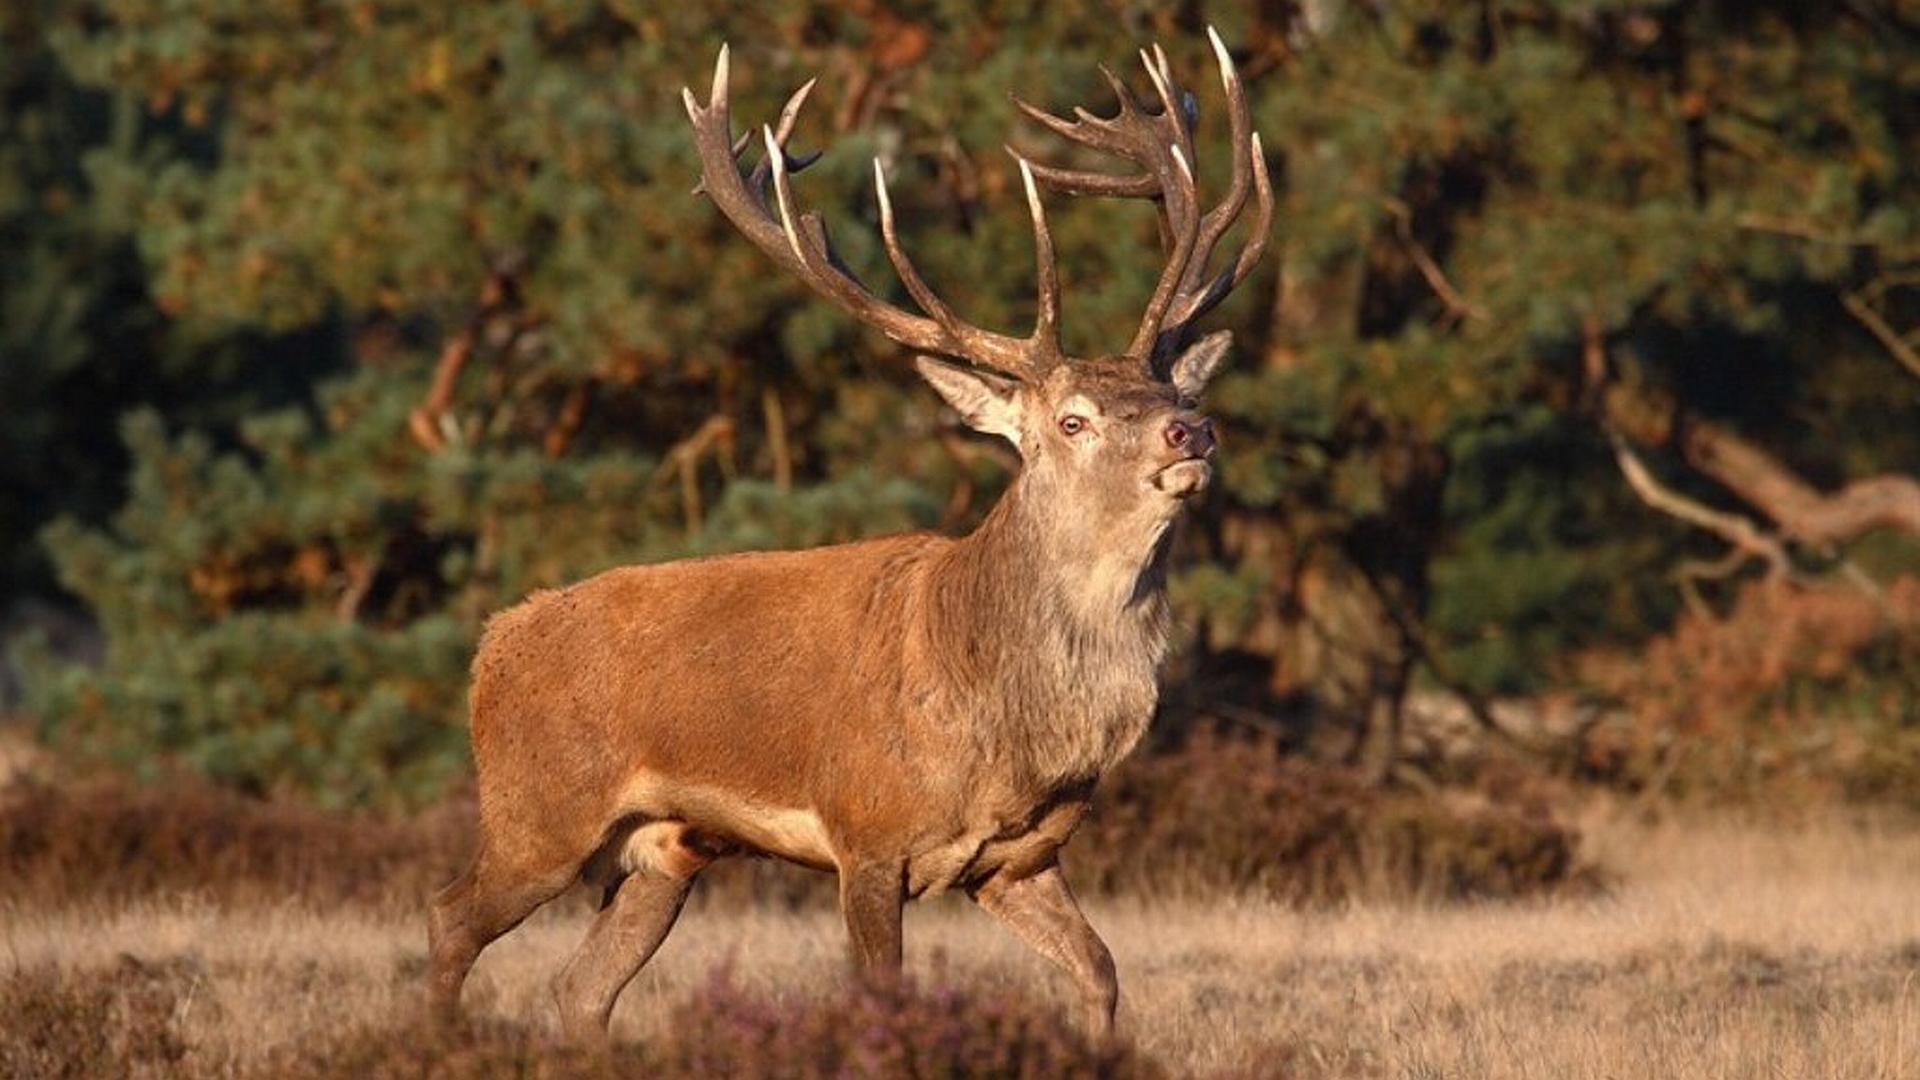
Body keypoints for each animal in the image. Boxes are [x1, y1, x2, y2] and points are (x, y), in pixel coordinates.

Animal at [432, 31, 1274, 1045]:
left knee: (581, 989)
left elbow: (1101, 971)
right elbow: (883, 990)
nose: (1193, 432)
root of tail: (492, 644)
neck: (1002, 715)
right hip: (539, 810)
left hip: (661, 852)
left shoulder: (1019, 858)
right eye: (1072, 419)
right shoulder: (865, 832)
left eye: (1173, 390)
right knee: (449, 919)